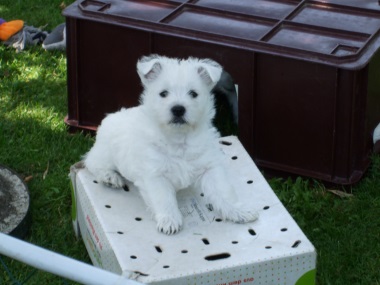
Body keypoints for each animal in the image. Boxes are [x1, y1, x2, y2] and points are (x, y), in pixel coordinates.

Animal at [84, 55, 258, 233]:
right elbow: (163, 199)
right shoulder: (155, 174)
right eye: (163, 93)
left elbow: (224, 191)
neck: (179, 138)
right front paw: (169, 221)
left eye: (193, 93)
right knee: (91, 162)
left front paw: (239, 211)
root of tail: (112, 116)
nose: (178, 109)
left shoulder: (209, 166)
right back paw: (109, 177)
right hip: (106, 154)